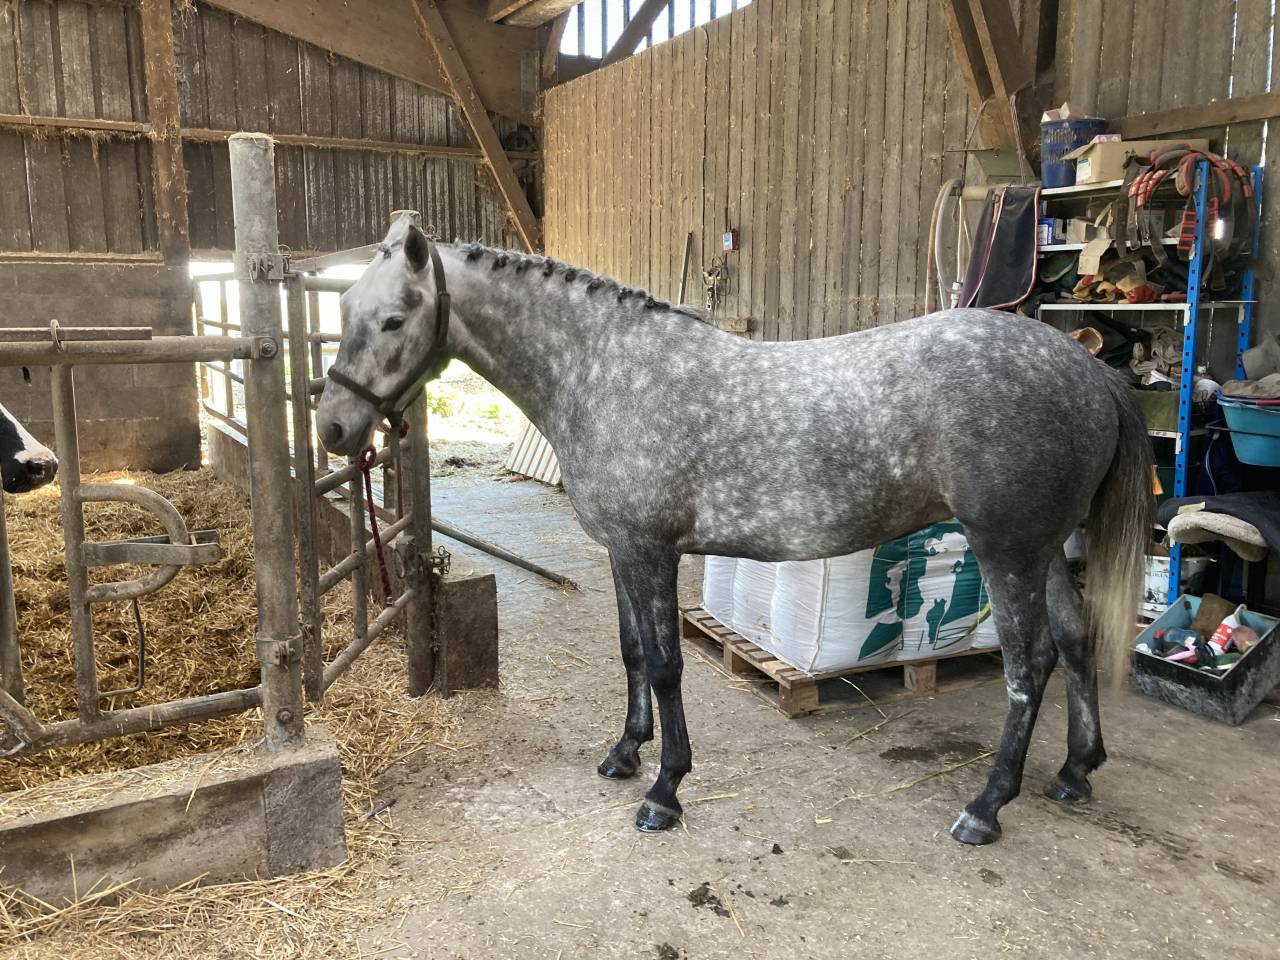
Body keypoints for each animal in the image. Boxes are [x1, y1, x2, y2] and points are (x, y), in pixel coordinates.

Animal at [316, 217, 1151, 845]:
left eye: (395, 318)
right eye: (346, 309)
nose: (332, 429)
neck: (605, 371)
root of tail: (1090, 370)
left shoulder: (649, 550)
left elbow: (663, 664)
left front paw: (665, 790)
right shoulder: (622, 550)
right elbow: (630, 652)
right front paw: (625, 753)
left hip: (1008, 549)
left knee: (1030, 664)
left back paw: (985, 808)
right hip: (1044, 551)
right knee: (1075, 640)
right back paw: (1076, 771)